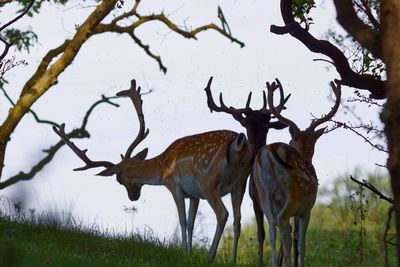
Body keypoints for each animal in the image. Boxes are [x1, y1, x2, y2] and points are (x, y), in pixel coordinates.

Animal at [53, 79, 253, 264]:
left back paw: (209, 257)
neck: (162, 168)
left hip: (208, 180)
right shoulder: (194, 195)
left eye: (119, 179)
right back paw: (233, 261)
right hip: (240, 183)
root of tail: (240, 144)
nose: (132, 197)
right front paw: (189, 253)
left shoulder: (175, 185)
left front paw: (183, 252)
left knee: (223, 214)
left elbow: (182, 220)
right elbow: (191, 223)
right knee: (237, 219)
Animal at [253, 79, 340, 267]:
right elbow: (301, 242)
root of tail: (266, 154)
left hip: (263, 195)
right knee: (281, 223)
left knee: (272, 230)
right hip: (292, 196)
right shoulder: (306, 209)